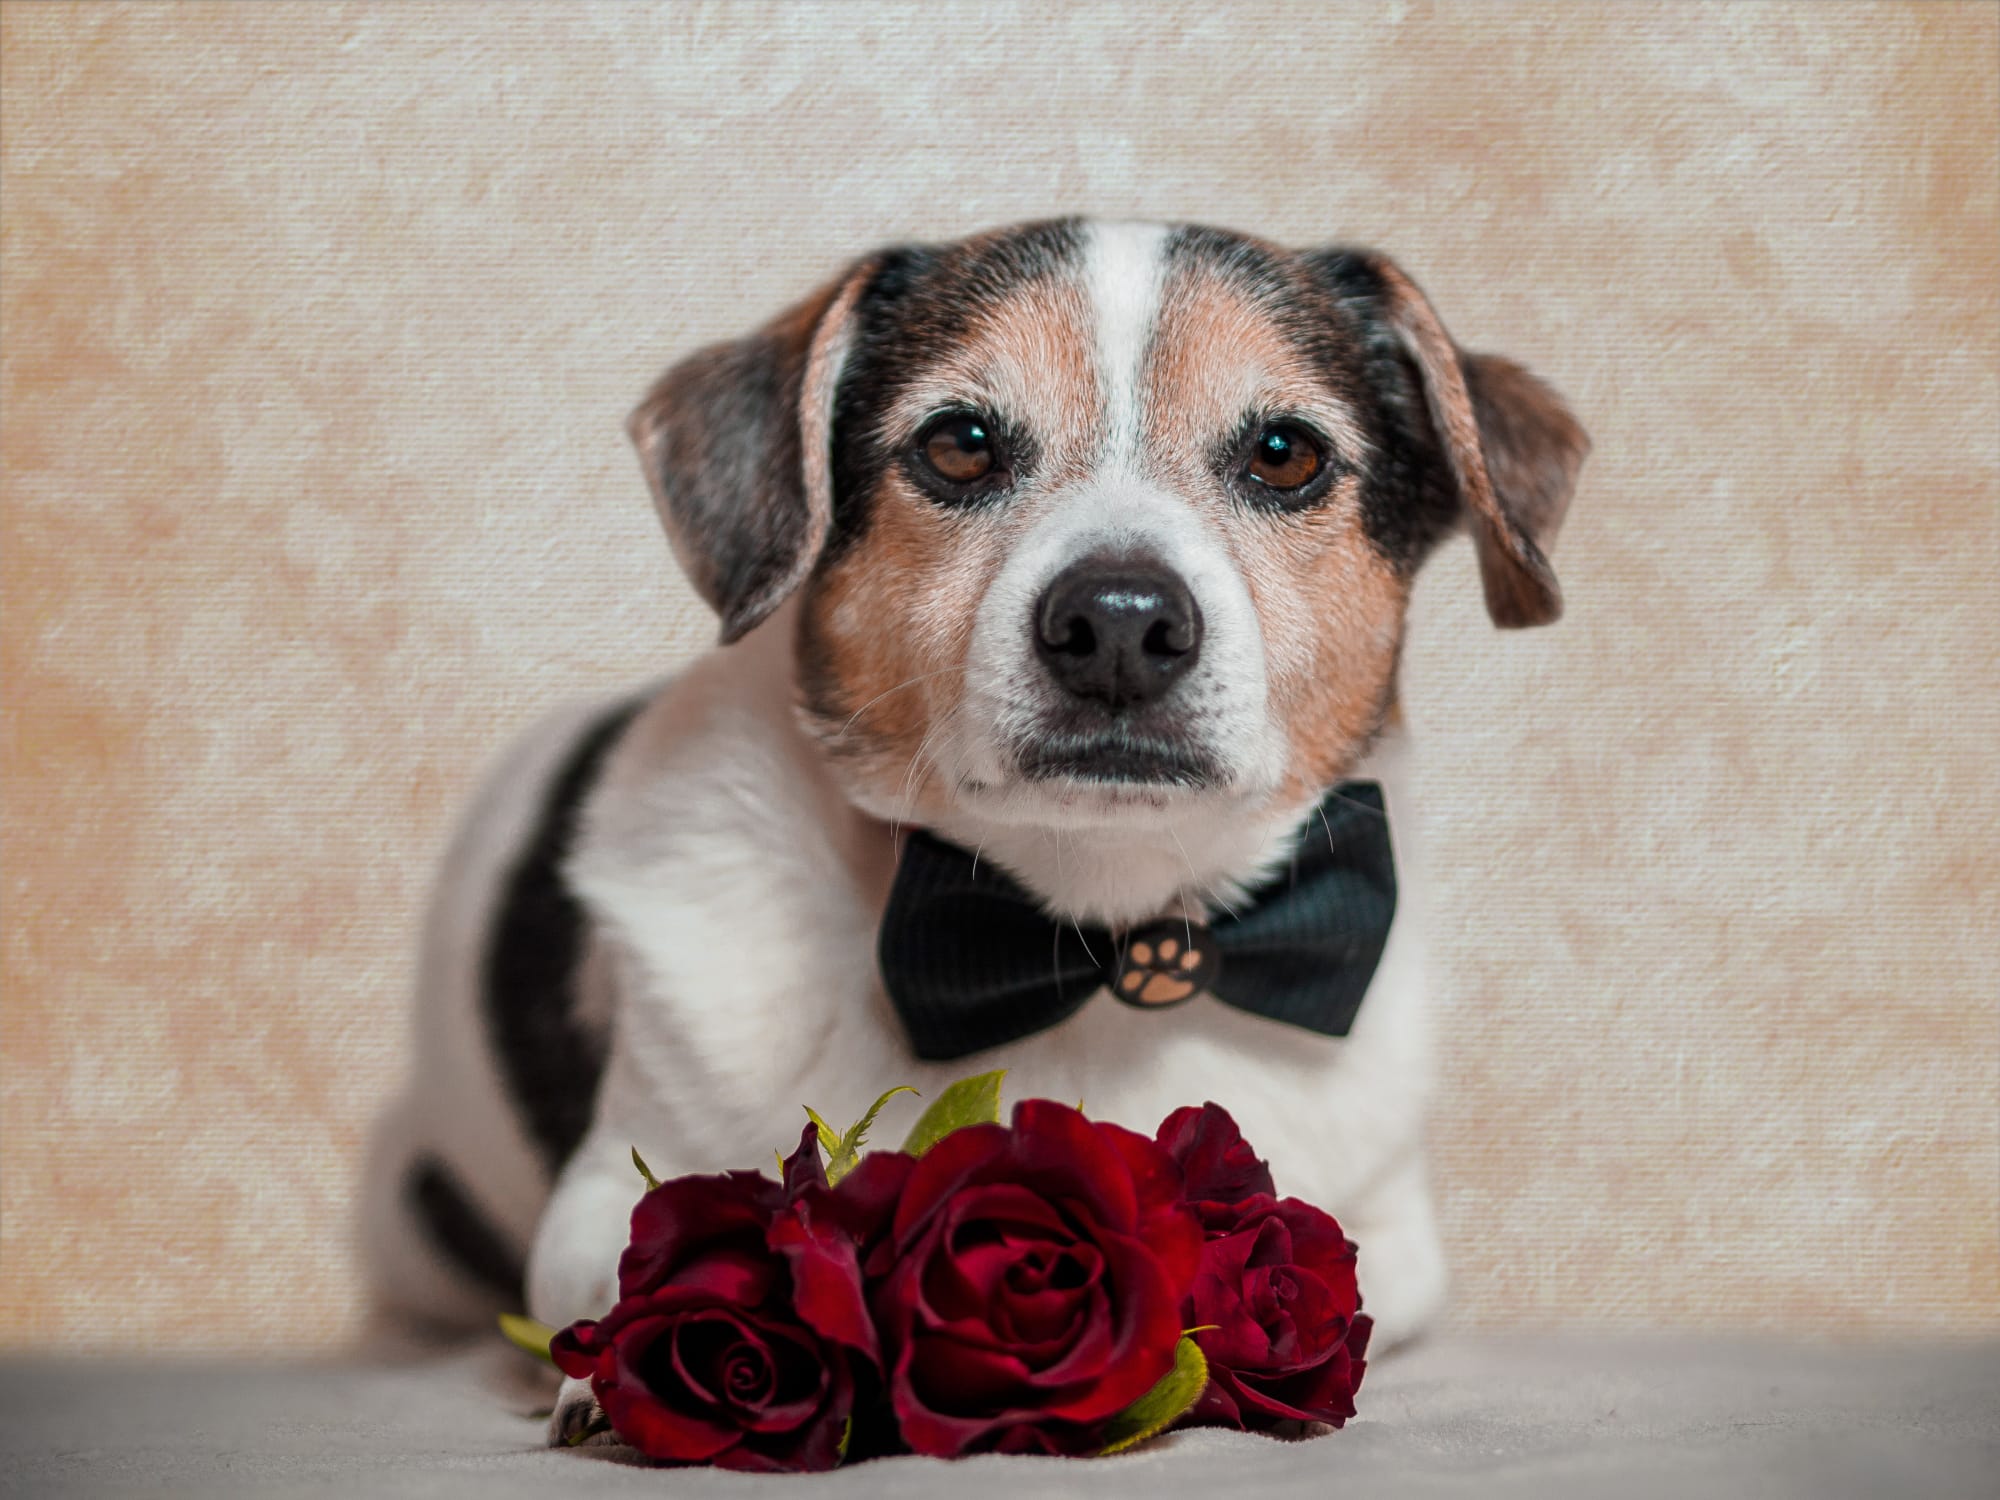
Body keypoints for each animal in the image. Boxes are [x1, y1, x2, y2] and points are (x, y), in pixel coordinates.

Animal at [364, 220, 1592, 1424]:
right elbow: (629, 1269)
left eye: (1284, 453)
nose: (1118, 621)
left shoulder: (1393, 1233)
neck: (1084, 939)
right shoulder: (600, 1195)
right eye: (958, 444)